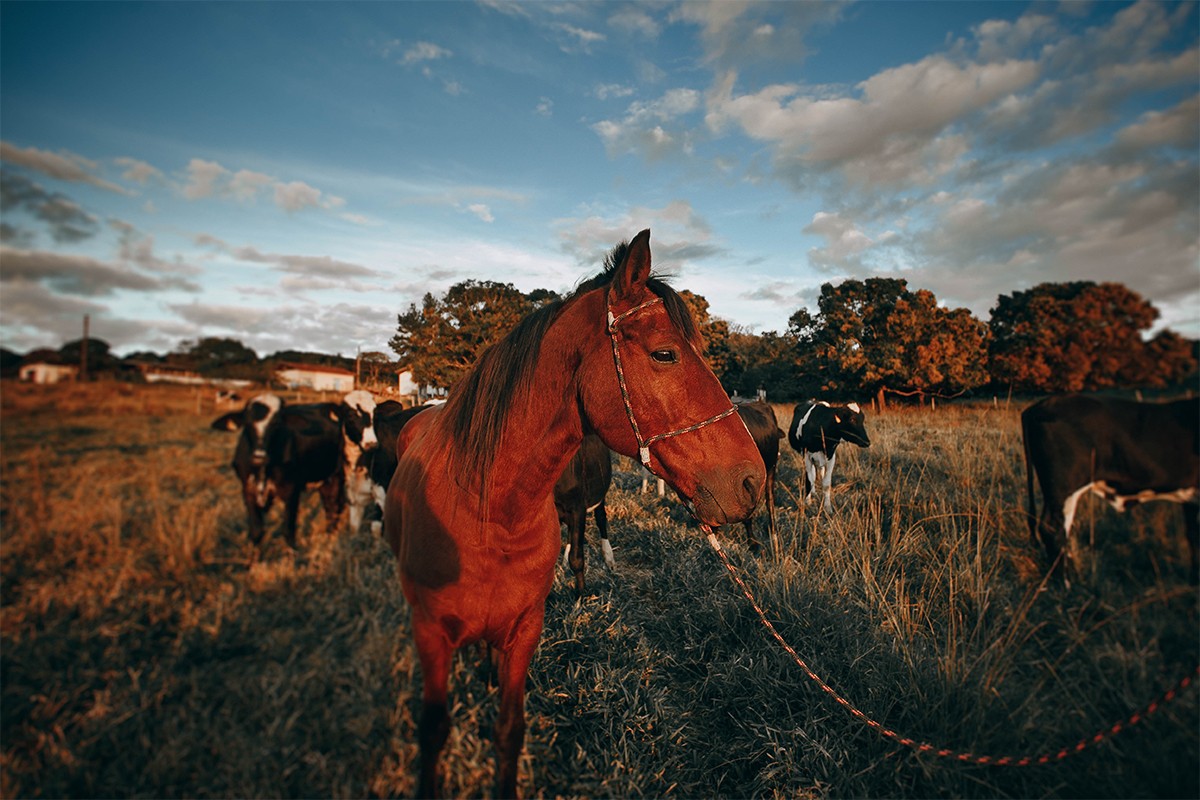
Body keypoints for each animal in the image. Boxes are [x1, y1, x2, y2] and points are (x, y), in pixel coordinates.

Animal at [208, 393, 343, 551]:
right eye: (247, 423)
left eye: (277, 424)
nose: (259, 457)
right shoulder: (248, 491)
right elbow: (256, 531)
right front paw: (254, 556)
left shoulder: (291, 491)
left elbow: (288, 530)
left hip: (336, 476)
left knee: (333, 508)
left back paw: (330, 539)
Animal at [1022, 393, 1200, 585]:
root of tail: (1037, 406)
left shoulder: (1190, 499)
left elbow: (1192, 536)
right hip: (1064, 488)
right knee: (1053, 529)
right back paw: (1066, 584)